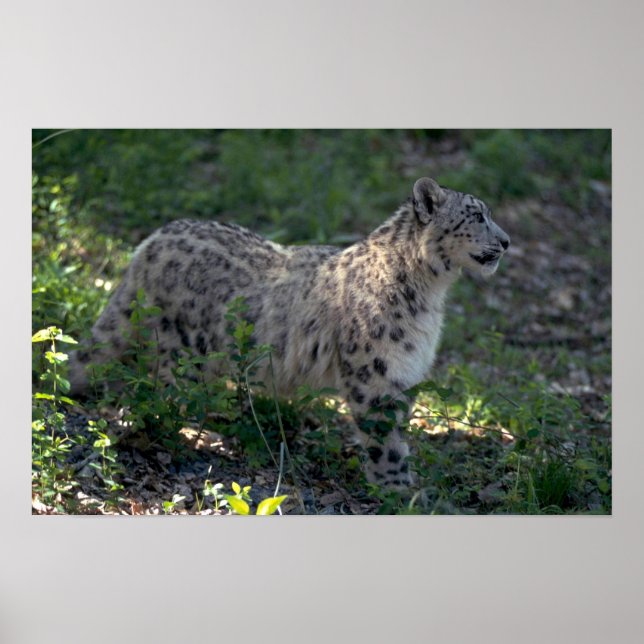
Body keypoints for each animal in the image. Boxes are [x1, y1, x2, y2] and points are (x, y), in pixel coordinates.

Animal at [68, 177, 510, 487]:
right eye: (477, 215)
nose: (507, 242)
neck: (431, 293)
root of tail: (150, 243)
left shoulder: (402, 373)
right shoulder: (376, 375)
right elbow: (385, 443)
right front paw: (400, 491)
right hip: (186, 351)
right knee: (158, 395)